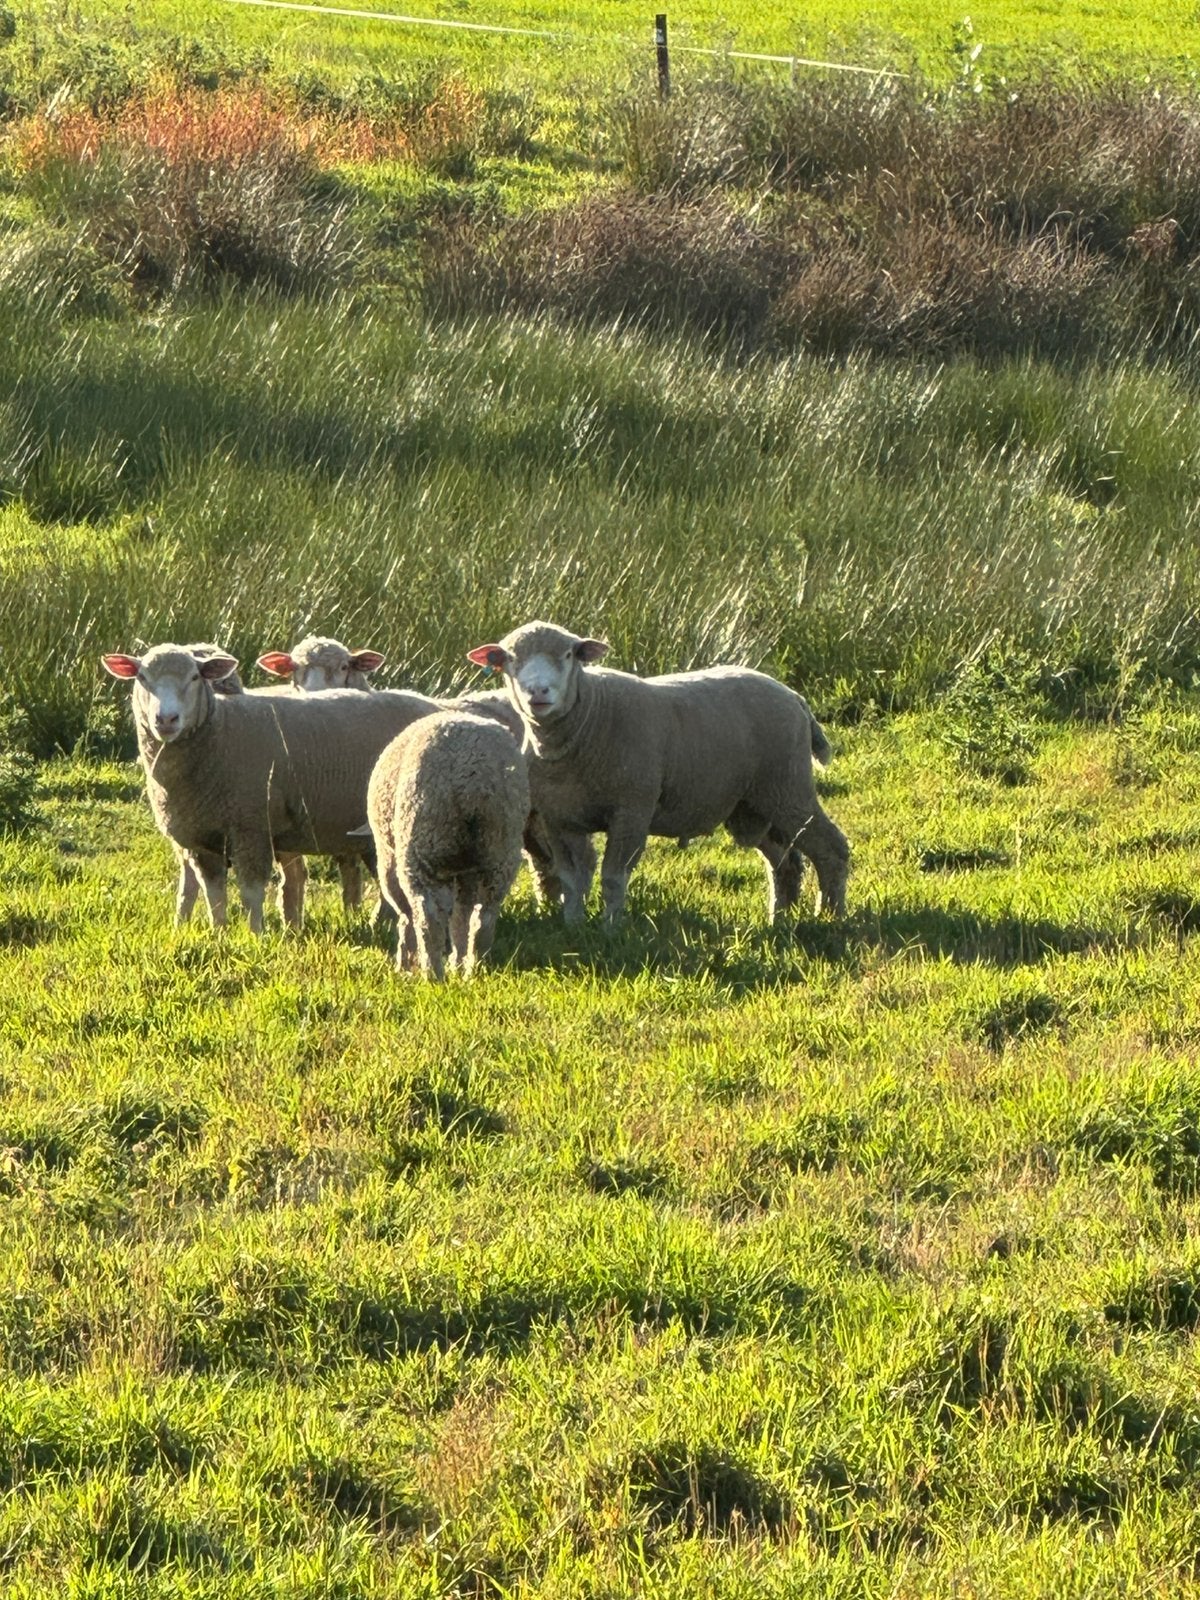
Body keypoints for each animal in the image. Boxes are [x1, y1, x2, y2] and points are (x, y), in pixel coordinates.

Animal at [101, 644, 439, 933]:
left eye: (195, 677)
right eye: (142, 678)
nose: (166, 719)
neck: (221, 730)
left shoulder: (251, 827)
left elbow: (251, 891)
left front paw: (255, 934)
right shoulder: (202, 839)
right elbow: (214, 893)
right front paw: (218, 933)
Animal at [366, 710, 529, 980]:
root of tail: (473, 783)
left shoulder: (390, 859)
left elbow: (408, 916)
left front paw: (405, 963)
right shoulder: (467, 873)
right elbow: (461, 919)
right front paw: (457, 961)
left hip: (423, 849)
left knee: (428, 917)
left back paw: (433, 975)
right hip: (500, 852)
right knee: (483, 917)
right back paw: (476, 969)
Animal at [466, 620, 849, 926]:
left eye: (569, 655)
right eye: (510, 659)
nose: (538, 692)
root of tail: (794, 696)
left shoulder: (632, 810)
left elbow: (613, 877)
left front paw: (611, 928)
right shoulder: (560, 819)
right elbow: (572, 880)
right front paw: (572, 926)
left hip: (788, 787)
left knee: (831, 848)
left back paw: (830, 916)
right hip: (753, 805)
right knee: (785, 863)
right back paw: (779, 919)